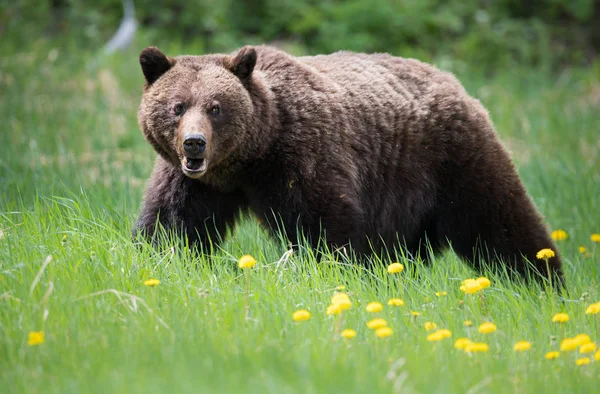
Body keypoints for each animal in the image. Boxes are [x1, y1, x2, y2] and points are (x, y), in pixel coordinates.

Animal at [134, 44, 564, 284]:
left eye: (216, 107)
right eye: (177, 106)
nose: (194, 143)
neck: (250, 158)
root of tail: (450, 78)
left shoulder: (302, 157)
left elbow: (325, 228)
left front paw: (332, 272)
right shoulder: (193, 182)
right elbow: (172, 224)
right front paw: (157, 260)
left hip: (452, 160)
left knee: (499, 220)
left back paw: (544, 281)